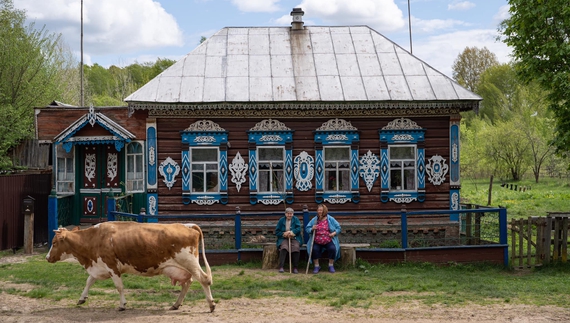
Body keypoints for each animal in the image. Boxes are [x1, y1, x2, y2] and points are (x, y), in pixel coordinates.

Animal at [45, 223, 214, 312]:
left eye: (54, 243)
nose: (47, 258)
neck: (95, 238)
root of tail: (187, 225)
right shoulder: (98, 266)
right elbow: (89, 281)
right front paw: (82, 298)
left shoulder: (112, 267)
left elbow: (119, 287)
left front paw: (122, 305)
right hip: (183, 267)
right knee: (188, 282)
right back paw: (176, 304)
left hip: (189, 262)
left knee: (204, 279)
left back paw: (211, 304)